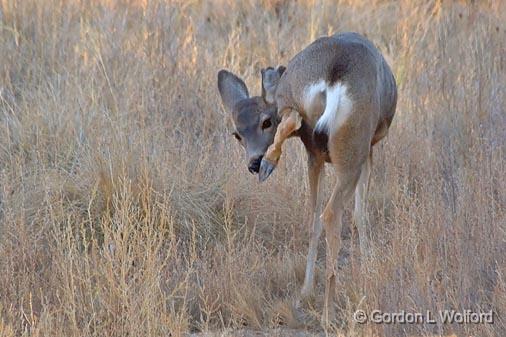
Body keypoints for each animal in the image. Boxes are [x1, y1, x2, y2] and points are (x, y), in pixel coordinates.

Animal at [215, 32, 398, 324]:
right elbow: (361, 213)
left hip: (310, 135)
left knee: (314, 213)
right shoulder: (369, 151)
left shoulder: (315, 155)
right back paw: (328, 310)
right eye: (238, 134)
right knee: (332, 213)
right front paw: (369, 267)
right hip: (354, 146)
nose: (252, 162)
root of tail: (333, 78)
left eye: (265, 122)